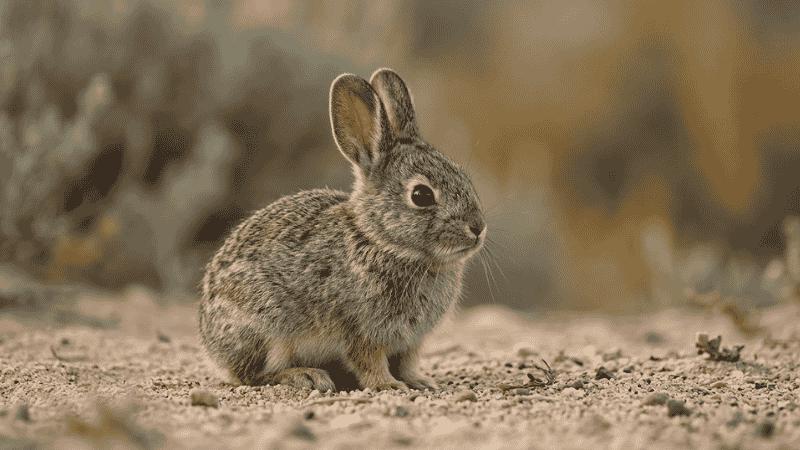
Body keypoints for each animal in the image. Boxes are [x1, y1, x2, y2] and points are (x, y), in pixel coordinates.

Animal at [199, 68, 486, 392]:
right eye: (421, 195)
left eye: (463, 177)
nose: (478, 228)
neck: (381, 241)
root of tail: (210, 342)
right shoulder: (361, 332)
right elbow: (369, 361)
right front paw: (388, 385)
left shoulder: (411, 342)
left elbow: (408, 364)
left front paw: (421, 382)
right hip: (266, 328)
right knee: (253, 374)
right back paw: (306, 375)